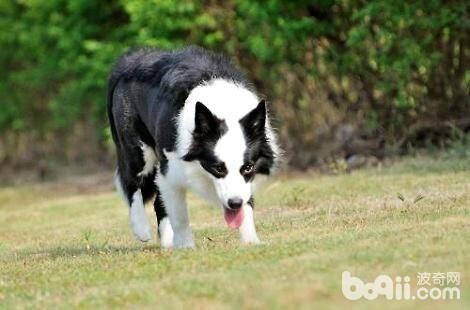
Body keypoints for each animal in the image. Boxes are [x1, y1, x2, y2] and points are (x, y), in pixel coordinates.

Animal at [108, 46, 280, 249]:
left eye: (248, 167)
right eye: (218, 168)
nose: (234, 203)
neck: (223, 106)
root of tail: (130, 60)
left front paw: (250, 241)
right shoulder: (171, 170)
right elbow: (180, 215)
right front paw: (186, 247)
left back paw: (167, 244)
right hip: (138, 151)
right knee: (131, 182)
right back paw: (141, 228)